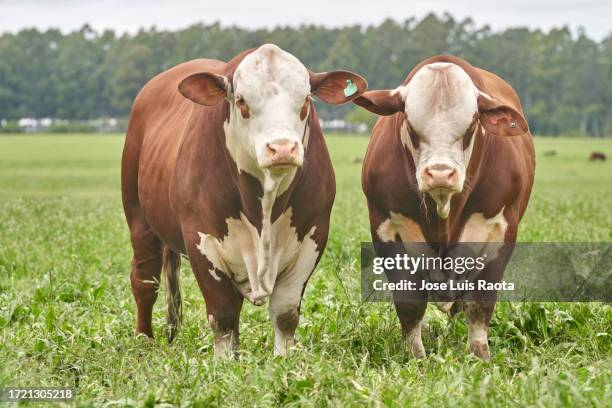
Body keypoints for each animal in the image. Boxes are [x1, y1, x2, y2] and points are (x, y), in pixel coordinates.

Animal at [122, 43, 366, 356]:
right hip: (138, 217)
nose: (282, 148)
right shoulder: (200, 239)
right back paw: (143, 338)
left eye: (305, 100)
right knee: (144, 280)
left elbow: (285, 314)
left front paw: (282, 359)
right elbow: (223, 314)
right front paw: (224, 362)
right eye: (241, 101)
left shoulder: (312, 237)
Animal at [354, 55, 536, 358]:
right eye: (410, 124)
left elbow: (480, 304)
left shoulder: (501, 231)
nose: (440, 173)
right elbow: (410, 303)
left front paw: (480, 356)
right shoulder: (385, 229)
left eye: (472, 126)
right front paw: (416, 356)